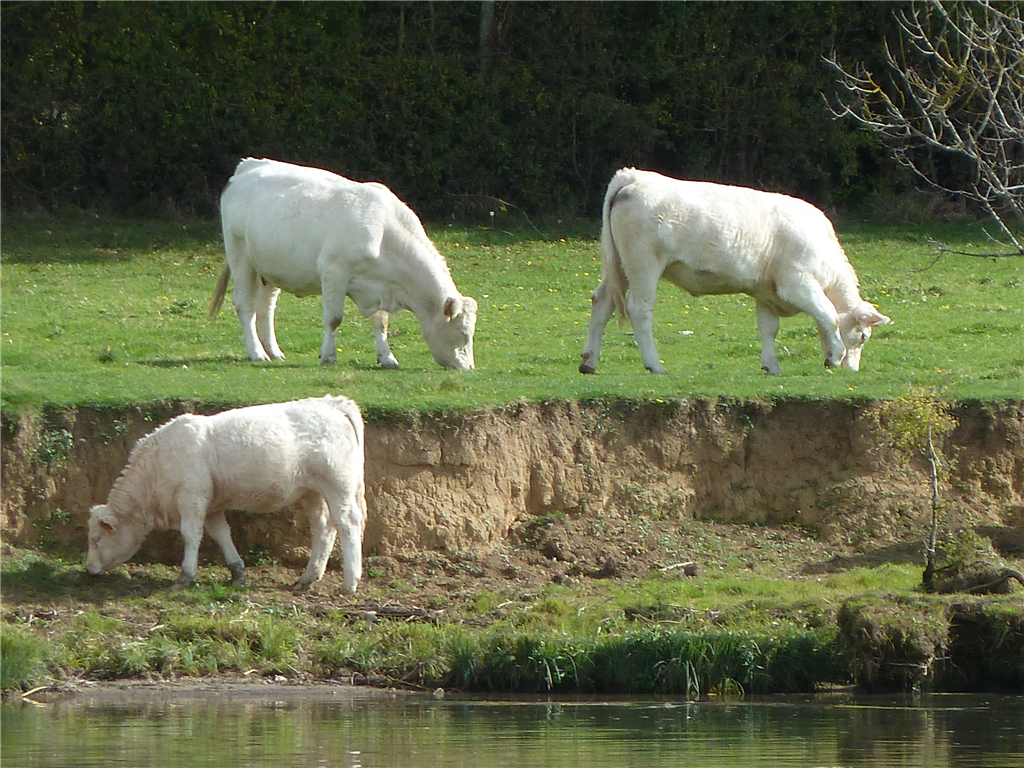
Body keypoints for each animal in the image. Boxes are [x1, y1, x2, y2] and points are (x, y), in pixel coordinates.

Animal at [85, 396, 366, 593]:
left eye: (97, 539)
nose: (88, 569)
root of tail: (331, 403)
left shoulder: (192, 499)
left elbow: (191, 536)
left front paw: (185, 575)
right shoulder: (212, 506)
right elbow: (221, 535)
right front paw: (237, 572)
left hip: (338, 486)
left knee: (348, 524)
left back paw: (350, 582)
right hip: (312, 492)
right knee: (323, 528)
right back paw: (308, 578)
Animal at [210, 158, 477, 370]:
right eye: (464, 334)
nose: (469, 368)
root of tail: (249, 165)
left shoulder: (381, 285)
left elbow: (381, 323)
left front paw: (387, 358)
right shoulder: (333, 272)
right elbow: (334, 318)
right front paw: (328, 356)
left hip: (271, 266)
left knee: (266, 307)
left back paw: (274, 351)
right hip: (240, 257)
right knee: (245, 305)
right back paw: (257, 353)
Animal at [579, 168, 891, 375]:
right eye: (863, 337)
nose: (852, 370)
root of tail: (634, 176)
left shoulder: (766, 292)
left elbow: (769, 328)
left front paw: (772, 366)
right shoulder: (797, 283)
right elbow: (828, 314)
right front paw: (835, 356)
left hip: (619, 266)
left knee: (602, 302)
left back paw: (589, 362)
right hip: (643, 265)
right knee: (640, 309)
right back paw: (655, 365)